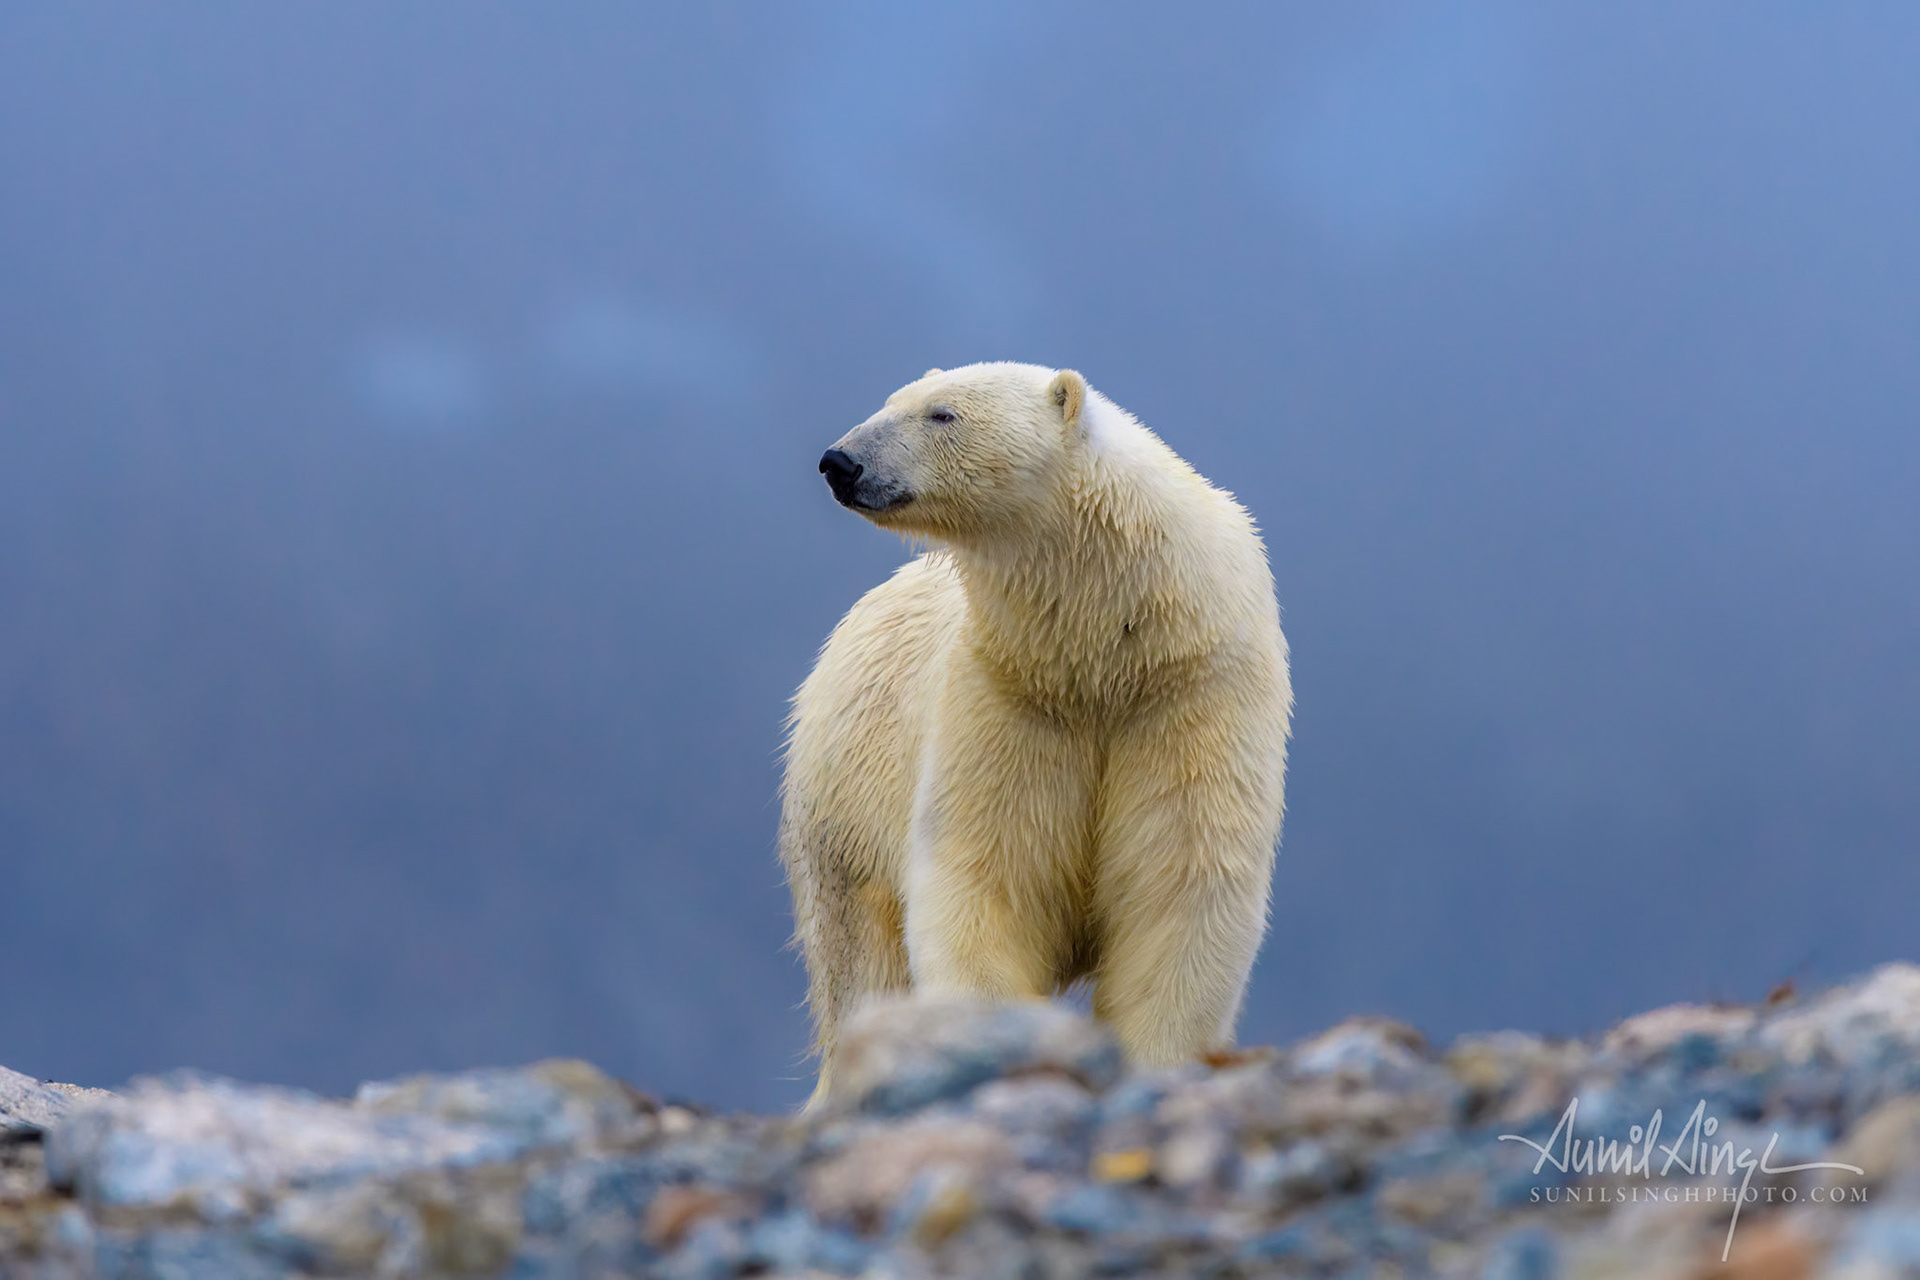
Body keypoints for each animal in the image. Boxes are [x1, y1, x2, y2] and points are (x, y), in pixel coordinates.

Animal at [782, 362, 1291, 1109]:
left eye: (941, 414)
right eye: (889, 401)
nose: (839, 461)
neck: (1109, 649)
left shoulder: (1192, 697)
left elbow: (1181, 883)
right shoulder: (1007, 699)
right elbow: (987, 878)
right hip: (845, 812)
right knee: (858, 963)